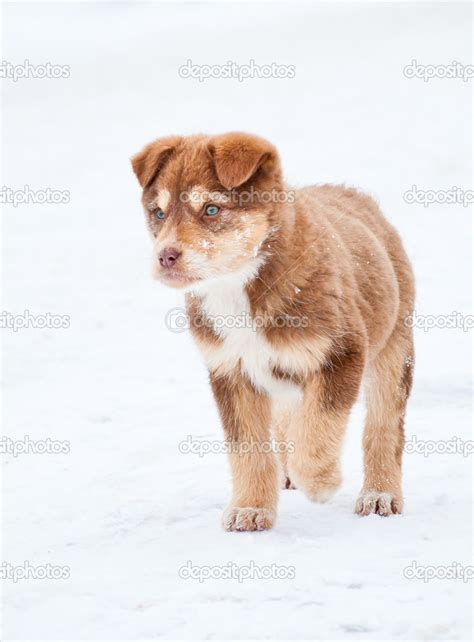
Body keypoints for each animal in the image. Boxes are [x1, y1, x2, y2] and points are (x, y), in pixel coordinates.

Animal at [131, 131, 414, 528]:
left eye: (211, 210)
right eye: (158, 213)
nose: (165, 256)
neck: (238, 286)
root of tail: (352, 193)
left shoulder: (342, 351)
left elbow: (320, 425)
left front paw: (321, 482)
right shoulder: (229, 370)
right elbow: (247, 448)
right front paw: (250, 507)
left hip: (392, 350)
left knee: (383, 426)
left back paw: (379, 494)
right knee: (287, 417)